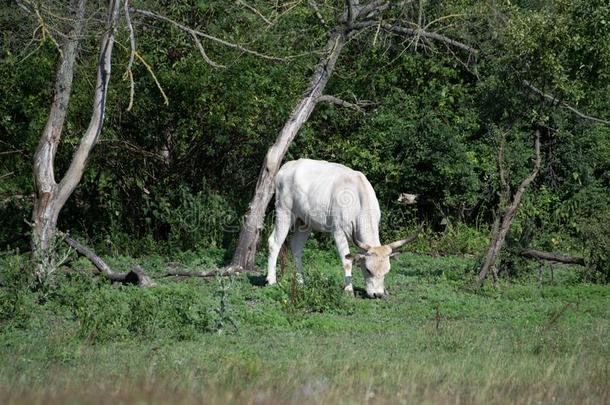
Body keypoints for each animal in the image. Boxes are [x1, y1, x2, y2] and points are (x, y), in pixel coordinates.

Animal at [264, 158, 408, 296]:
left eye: (387, 271)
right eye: (368, 270)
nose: (377, 294)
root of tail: (287, 166)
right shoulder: (338, 231)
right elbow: (347, 261)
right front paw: (348, 290)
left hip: (304, 222)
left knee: (296, 248)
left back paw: (300, 282)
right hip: (284, 212)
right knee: (274, 243)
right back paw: (271, 280)